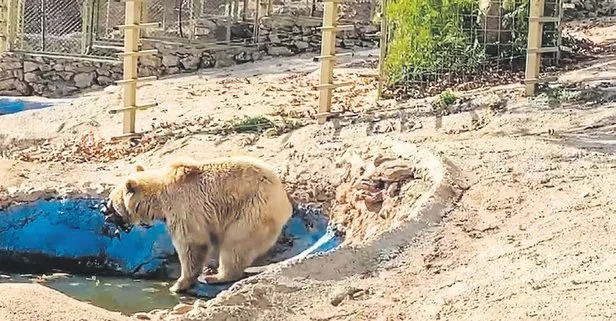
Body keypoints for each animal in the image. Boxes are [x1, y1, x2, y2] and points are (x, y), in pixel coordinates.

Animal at [103, 156, 294, 292]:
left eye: (111, 201)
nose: (104, 213)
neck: (159, 199)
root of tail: (285, 201)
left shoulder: (183, 208)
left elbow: (192, 244)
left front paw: (179, 284)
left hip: (252, 209)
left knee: (235, 244)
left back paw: (217, 276)